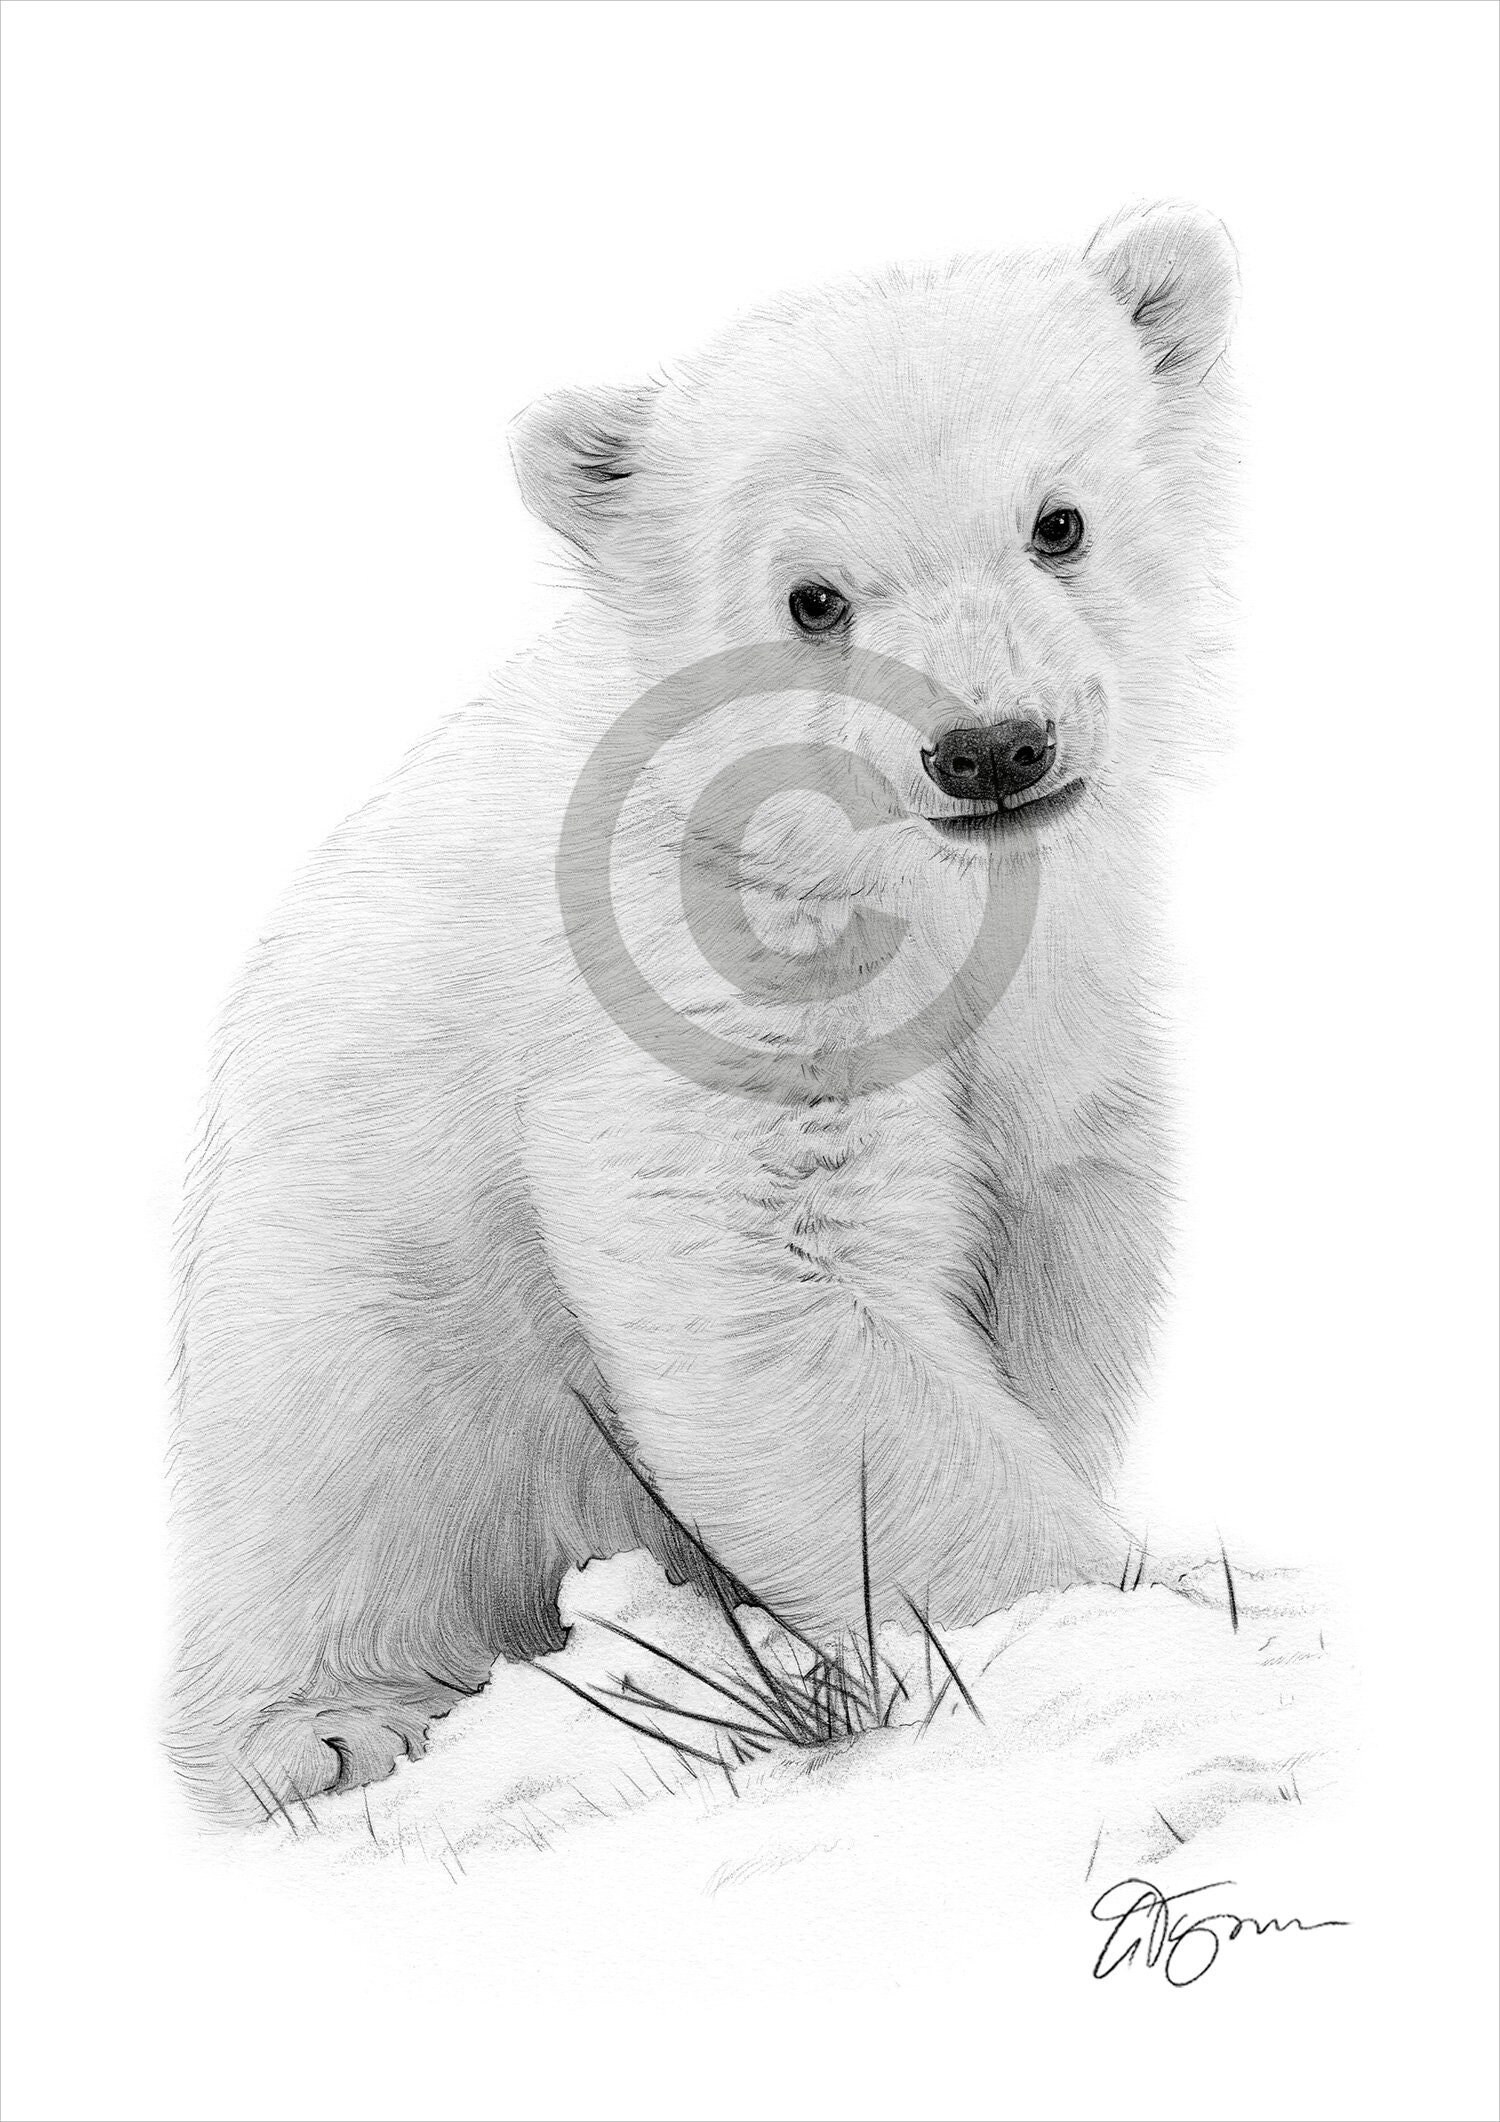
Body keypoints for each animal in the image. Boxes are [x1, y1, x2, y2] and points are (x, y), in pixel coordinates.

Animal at [167, 202, 1239, 1821]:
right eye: (814, 596)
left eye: (1059, 520)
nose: (992, 747)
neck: (895, 881)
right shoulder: (699, 971)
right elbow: (778, 1290)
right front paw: (1119, 1608)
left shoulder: (1072, 989)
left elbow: (1060, 1224)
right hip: (342, 1298)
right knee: (334, 1476)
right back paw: (328, 1724)